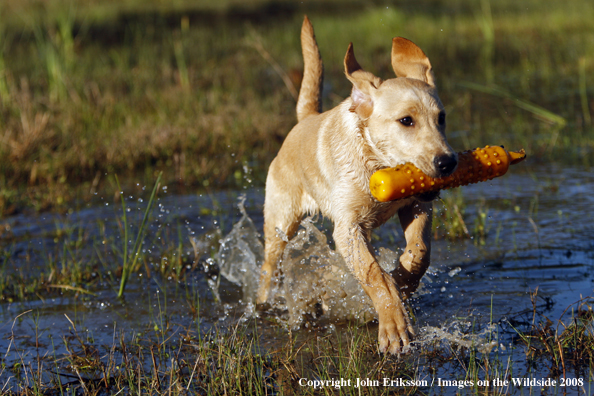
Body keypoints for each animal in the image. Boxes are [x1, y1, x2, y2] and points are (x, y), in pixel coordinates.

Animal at [256, 17, 456, 354]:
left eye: (441, 118)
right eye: (406, 121)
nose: (447, 162)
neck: (377, 164)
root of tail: (305, 118)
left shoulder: (417, 205)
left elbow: (419, 253)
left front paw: (402, 280)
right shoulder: (348, 228)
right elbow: (374, 274)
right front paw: (393, 326)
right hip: (281, 222)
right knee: (269, 267)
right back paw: (260, 305)